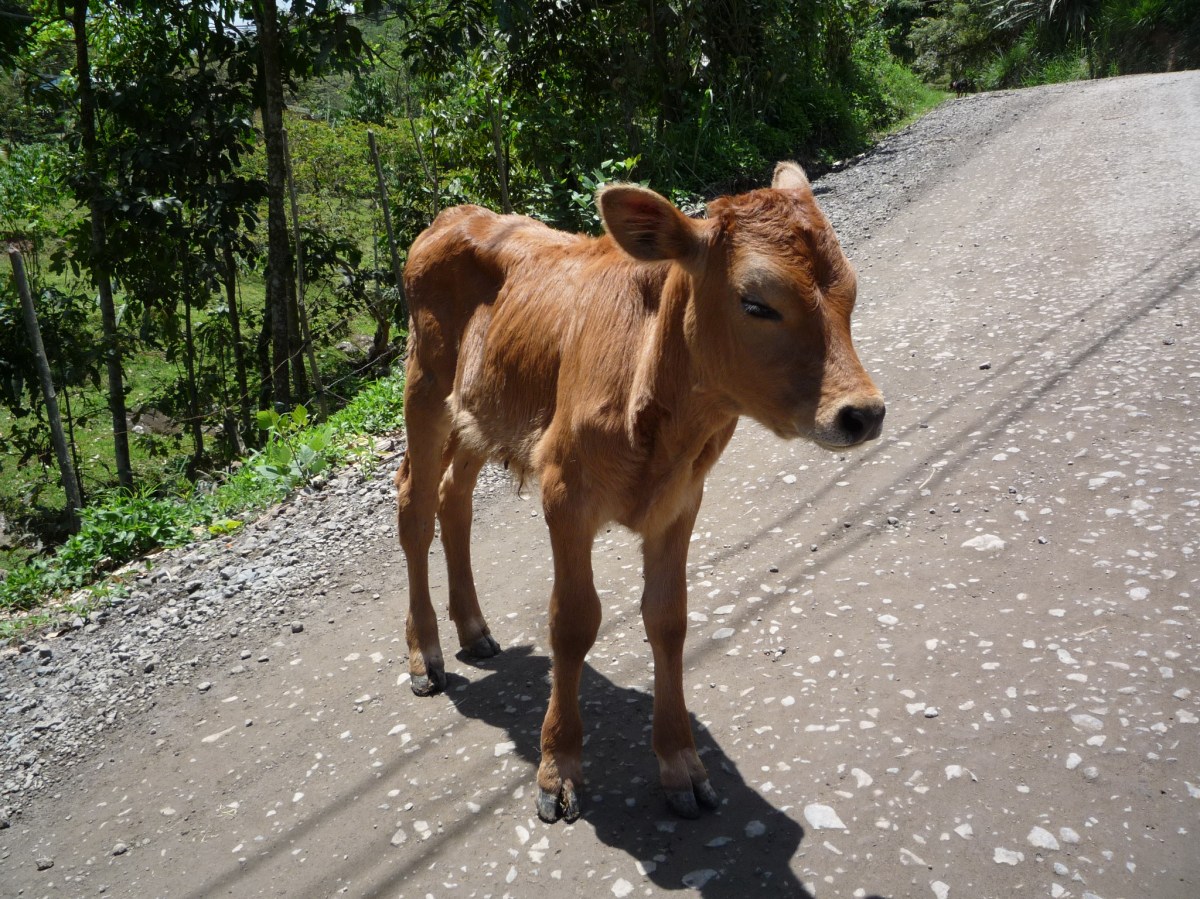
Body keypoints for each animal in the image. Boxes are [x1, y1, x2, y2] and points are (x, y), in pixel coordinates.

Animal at [394, 161, 885, 823]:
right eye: (756, 302)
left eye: (850, 291)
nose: (863, 413)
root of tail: (455, 215)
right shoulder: (565, 493)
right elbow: (573, 622)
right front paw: (558, 767)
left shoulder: (680, 502)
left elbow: (669, 619)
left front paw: (681, 763)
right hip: (424, 390)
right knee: (415, 506)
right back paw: (426, 654)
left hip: (482, 411)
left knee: (454, 500)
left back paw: (472, 627)